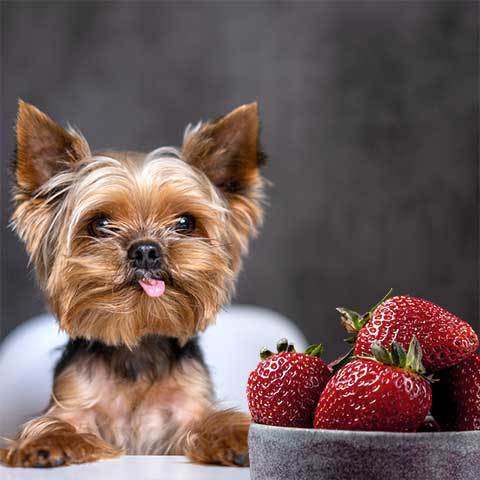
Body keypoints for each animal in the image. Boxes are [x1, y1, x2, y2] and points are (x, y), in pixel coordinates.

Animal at [0, 99, 266, 466]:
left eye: (185, 222)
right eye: (100, 224)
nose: (145, 251)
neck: (137, 349)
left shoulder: (186, 408)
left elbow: (211, 420)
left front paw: (238, 438)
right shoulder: (74, 402)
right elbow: (54, 424)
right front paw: (48, 442)